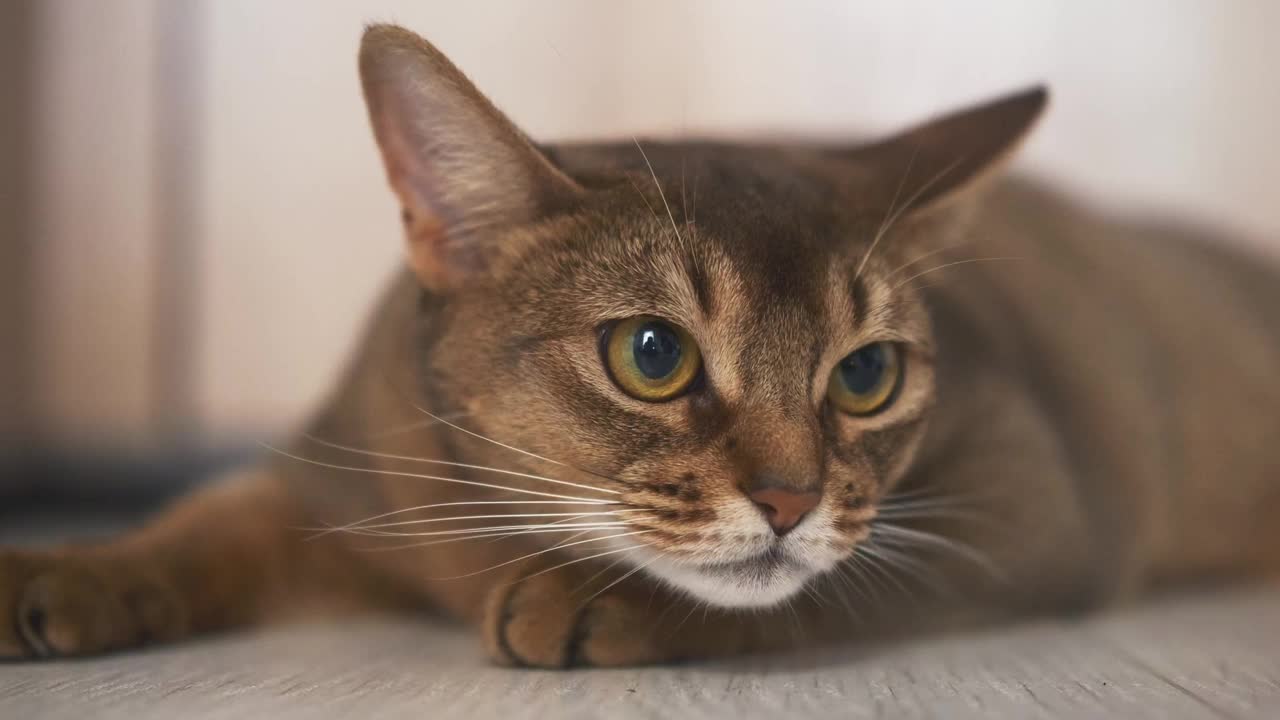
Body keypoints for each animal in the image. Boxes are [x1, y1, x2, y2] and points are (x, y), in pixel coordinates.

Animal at [2, 25, 1280, 666]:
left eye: (865, 376)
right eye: (652, 356)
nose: (789, 500)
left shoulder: (1031, 494)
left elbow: (820, 590)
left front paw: (584, 600)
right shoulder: (331, 475)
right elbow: (197, 526)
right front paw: (63, 573)